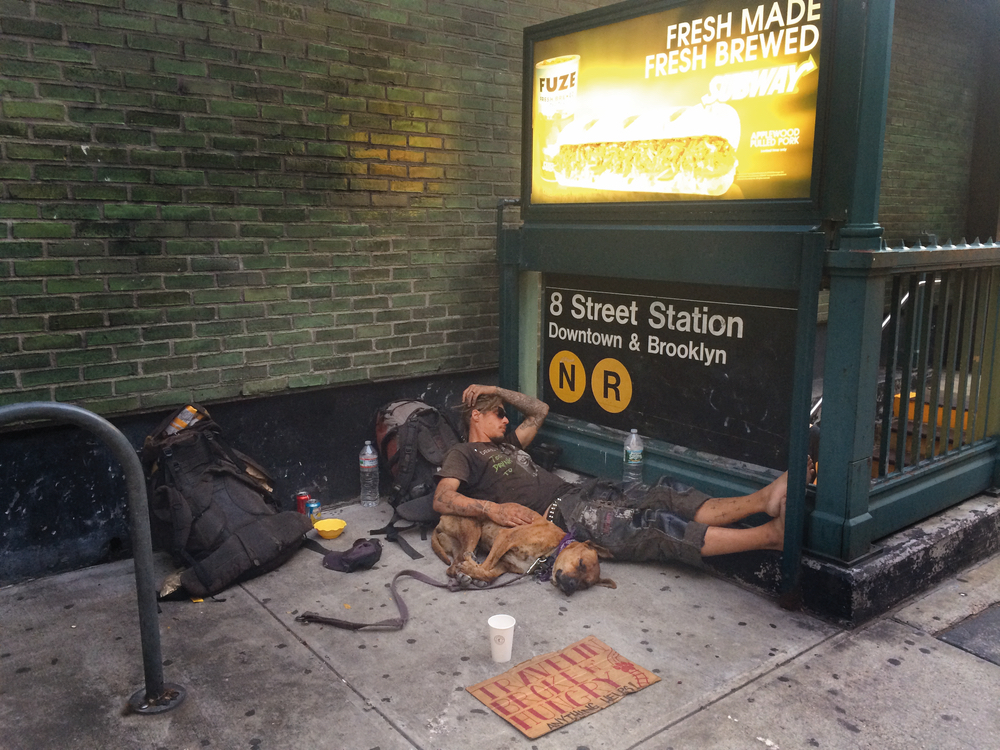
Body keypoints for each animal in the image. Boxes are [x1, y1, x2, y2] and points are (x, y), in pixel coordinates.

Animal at [432, 516, 616, 596]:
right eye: (581, 563)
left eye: (584, 585)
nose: (571, 586)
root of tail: (440, 518)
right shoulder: (506, 537)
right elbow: (486, 565)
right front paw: (471, 571)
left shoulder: (505, 564)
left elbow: (487, 572)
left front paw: (477, 575)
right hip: (473, 528)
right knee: (457, 562)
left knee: (456, 563)